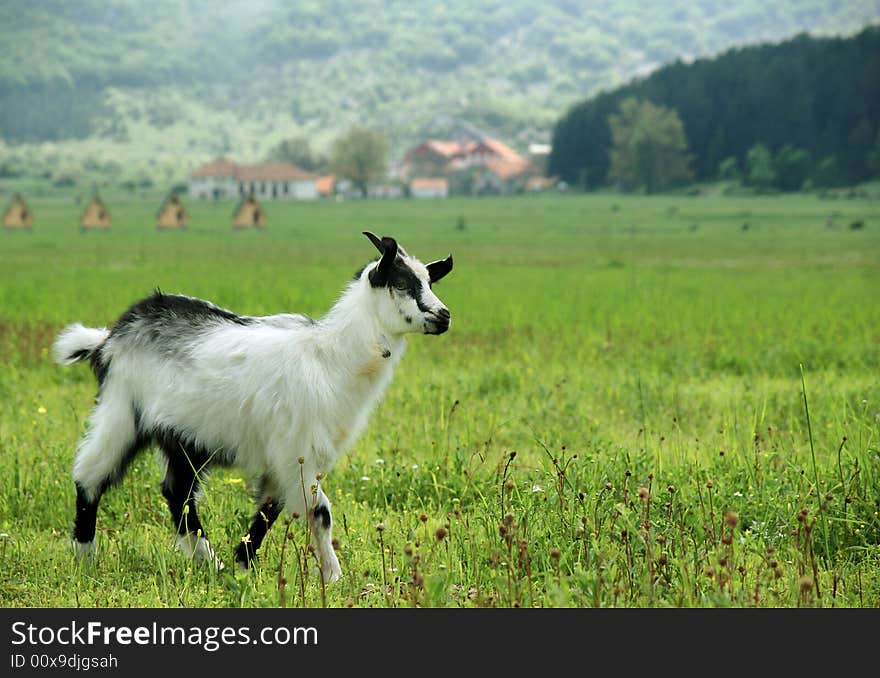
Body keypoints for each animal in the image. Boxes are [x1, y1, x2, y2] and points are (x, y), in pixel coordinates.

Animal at [52, 231, 454, 580]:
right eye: (402, 283)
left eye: (430, 282)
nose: (444, 316)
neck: (330, 357)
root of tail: (110, 337)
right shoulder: (296, 449)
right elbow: (320, 513)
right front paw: (334, 576)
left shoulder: (287, 456)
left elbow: (269, 511)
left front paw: (244, 566)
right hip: (120, 411)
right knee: (90, 476)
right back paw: (85, 556)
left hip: (185, 435)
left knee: (177, 493)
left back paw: (208, 561)